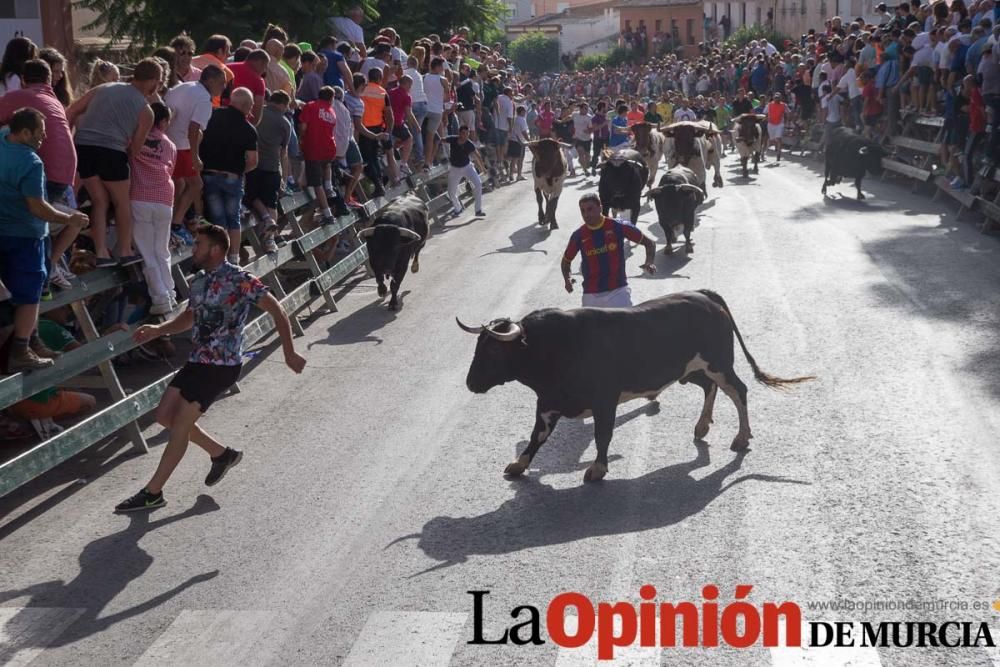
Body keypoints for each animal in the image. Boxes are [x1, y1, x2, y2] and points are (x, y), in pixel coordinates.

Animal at [458, 290, 816, 482]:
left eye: (492, 351)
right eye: (477, 348)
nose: (471, 382)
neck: (550, 346)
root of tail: (704, 295)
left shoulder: (604, 399)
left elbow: (603, 434)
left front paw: (597, 468)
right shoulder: (547, 402)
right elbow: (536, 437)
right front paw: (519, 464)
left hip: (719, 363)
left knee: (738, 390)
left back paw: (741, 438)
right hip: (692, 368)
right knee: (709, 388)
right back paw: (701, 426)